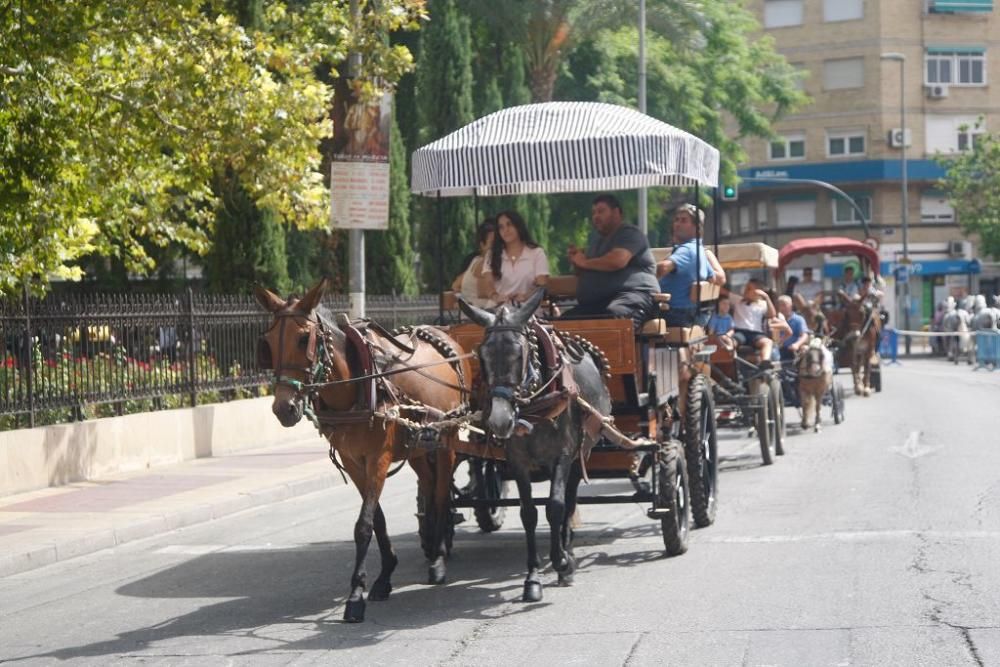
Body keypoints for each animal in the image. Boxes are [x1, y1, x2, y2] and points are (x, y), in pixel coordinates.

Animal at [250, 280, 468, 624]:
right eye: (268, 342)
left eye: (304, 338)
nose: (284, 408)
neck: (356, 388)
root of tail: (445, 336)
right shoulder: (353, 461)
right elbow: (376, 518)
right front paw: (383, 576)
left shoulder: (378, 458)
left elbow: (363, 525)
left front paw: (355, 594)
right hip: (419, 448)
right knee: (429, 484)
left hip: (448, 437)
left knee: (440, 493)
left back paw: (438, 559)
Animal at [458, 290, 612, 604]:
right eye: (482, 355)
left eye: (520, 354)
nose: (500, 420)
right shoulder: (517, 461)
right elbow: (528, 513)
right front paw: (532, 578)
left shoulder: (563, 454)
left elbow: (555, 506)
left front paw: (562, 561)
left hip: (581, 454)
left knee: (570, 500)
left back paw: (568, 554)